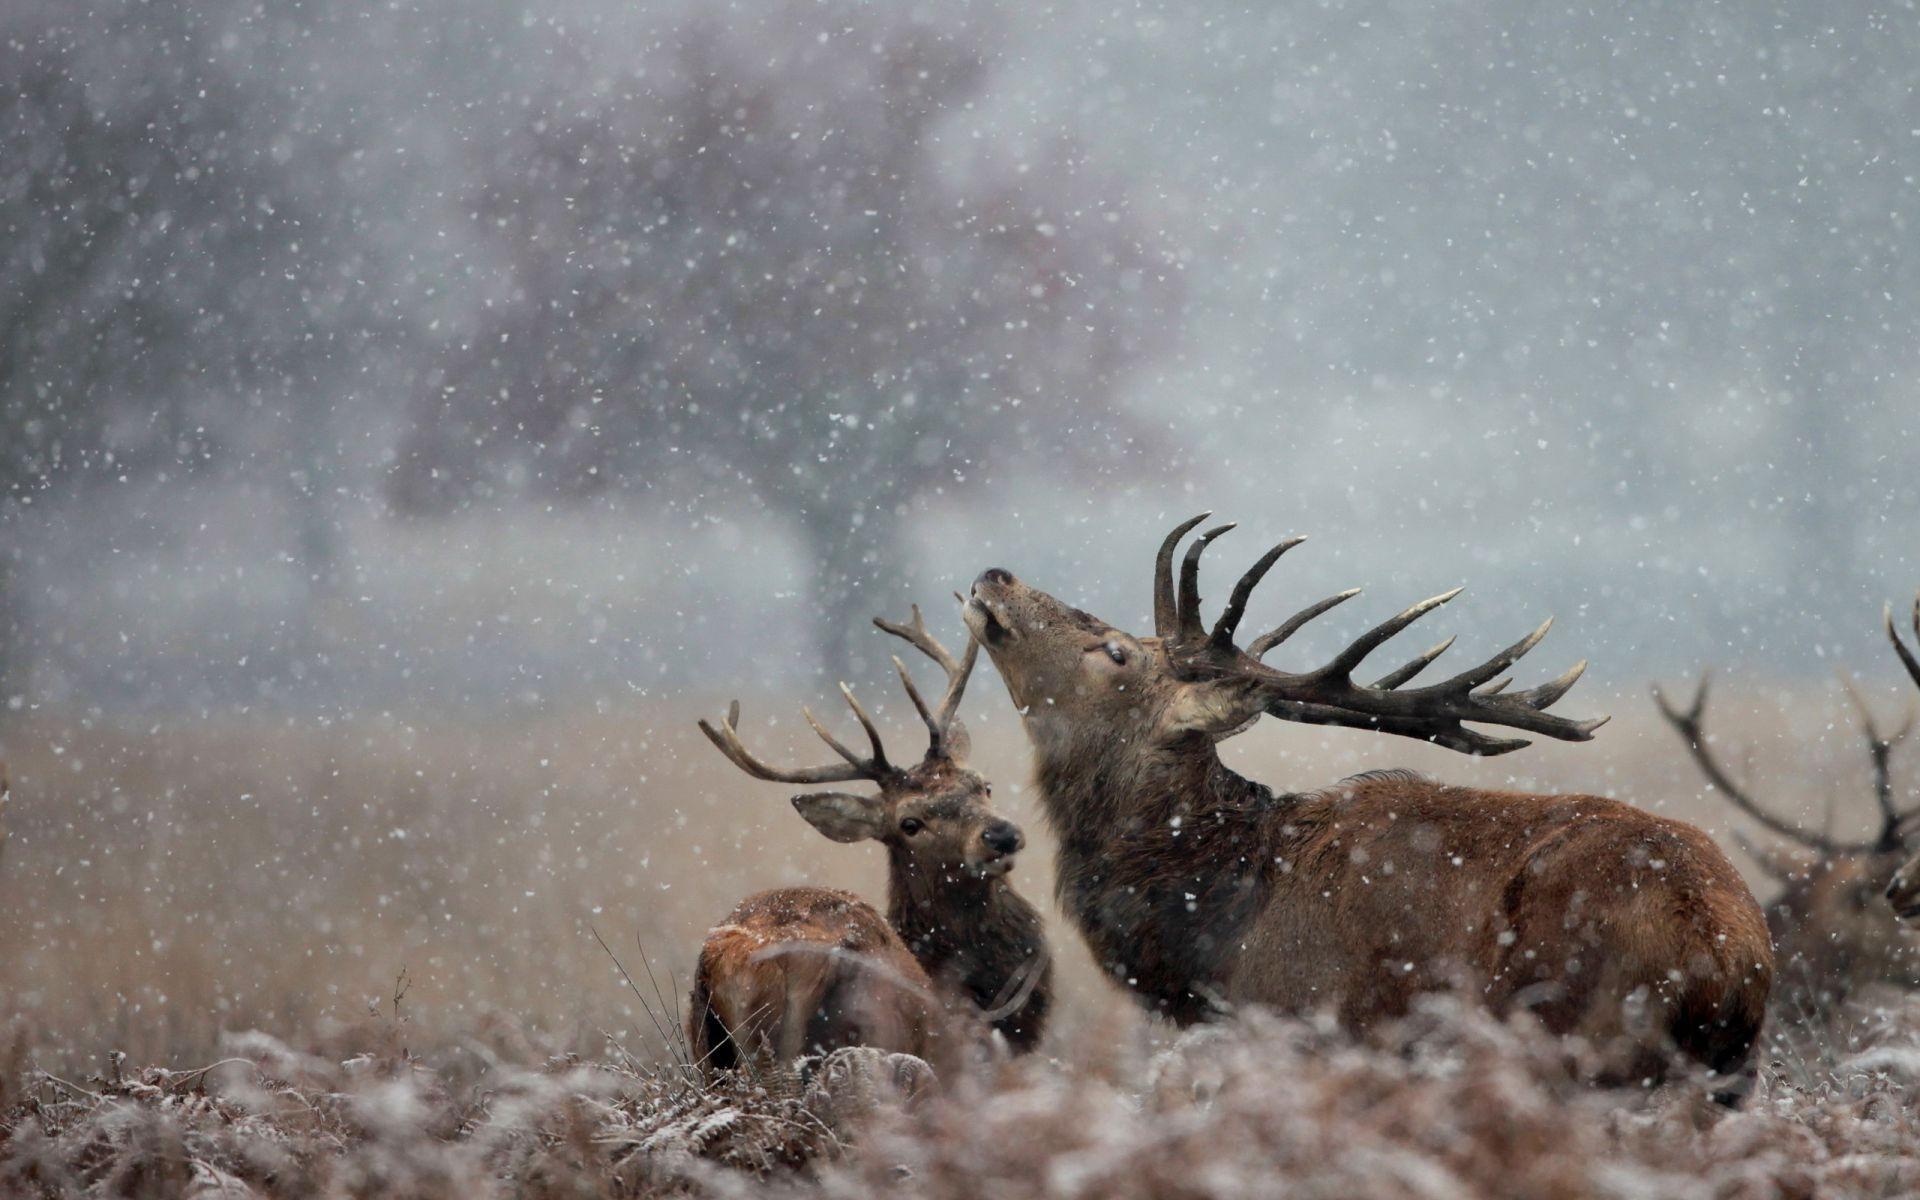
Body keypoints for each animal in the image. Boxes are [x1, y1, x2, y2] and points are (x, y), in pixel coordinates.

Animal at [961, 513, 1774, 1096]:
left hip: (1578, 1039)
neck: (1216, 942)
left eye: (1115, 652)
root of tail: (1724, 952)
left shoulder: (1315, 1028)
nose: (995, 575)